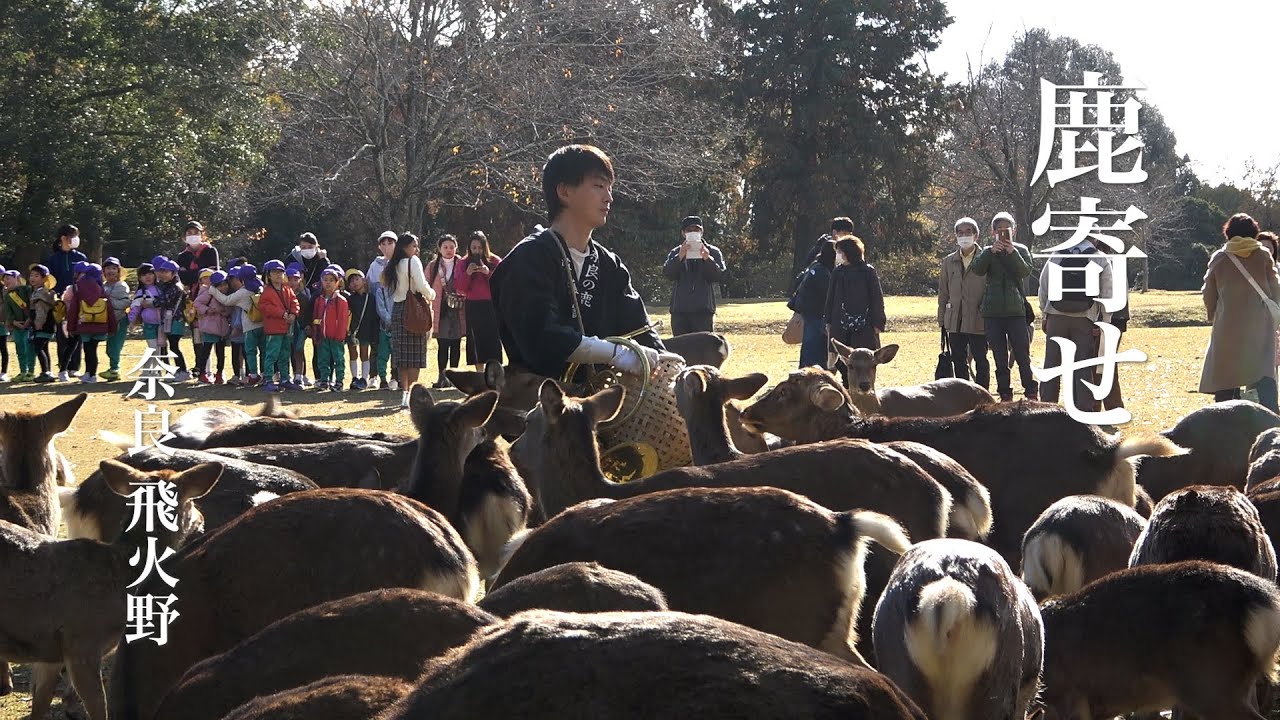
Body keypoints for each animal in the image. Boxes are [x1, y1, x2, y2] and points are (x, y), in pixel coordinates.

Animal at [0, 460, 222, 720]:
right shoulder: (81, 643)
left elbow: (40, 705)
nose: (202, 519)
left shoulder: (50, 653)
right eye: (192, 502)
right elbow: (99, 708)